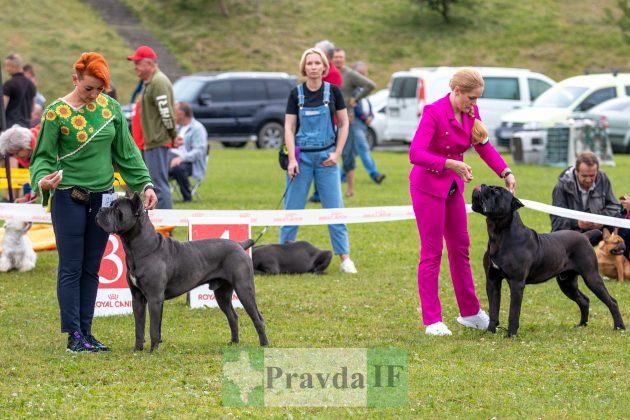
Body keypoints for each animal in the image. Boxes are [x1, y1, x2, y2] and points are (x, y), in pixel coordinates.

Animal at [95, 194, 270, 352]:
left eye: (117, 209)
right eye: (111, 205)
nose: (100, 209)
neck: (140, 247)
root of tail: (240, 245)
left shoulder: (154, 298)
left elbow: (153, 327)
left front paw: (152, 351)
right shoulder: (138, 298)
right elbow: (139, 327)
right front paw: (137, 350)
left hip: (244, 289)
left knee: (258, 318)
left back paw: (264, 345)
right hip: (222, 293)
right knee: (232, 316)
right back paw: (233, 343)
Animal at [472, 185, 624, 336]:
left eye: (497, 191)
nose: (483, 185)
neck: (497, 234)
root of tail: (585, 236)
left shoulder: (516, 283)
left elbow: (513, 312)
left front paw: (511, 335)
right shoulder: (492, 281)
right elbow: (493, 309)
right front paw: (490, 331)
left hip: (591, 277)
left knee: (612, 301)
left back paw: (619, 327)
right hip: (567, 283)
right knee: (584, 300)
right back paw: (581, 325)